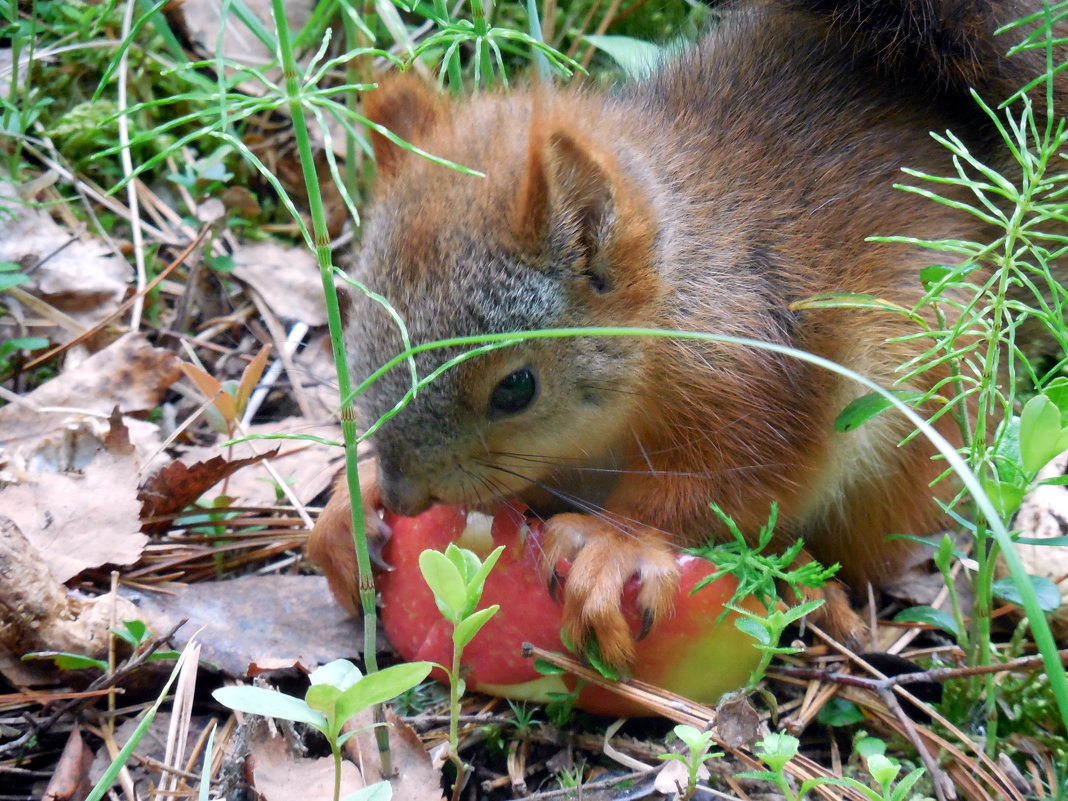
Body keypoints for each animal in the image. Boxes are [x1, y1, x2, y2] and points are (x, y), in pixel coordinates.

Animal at [307, 0, 1059, 666]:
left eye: (516, 388)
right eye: (359, 331)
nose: (406, 495)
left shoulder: (763, 380)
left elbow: (726, 482)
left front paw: (614, 546)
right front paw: (352, 505)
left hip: (913, 445)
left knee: (867, 553)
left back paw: (817, 593)